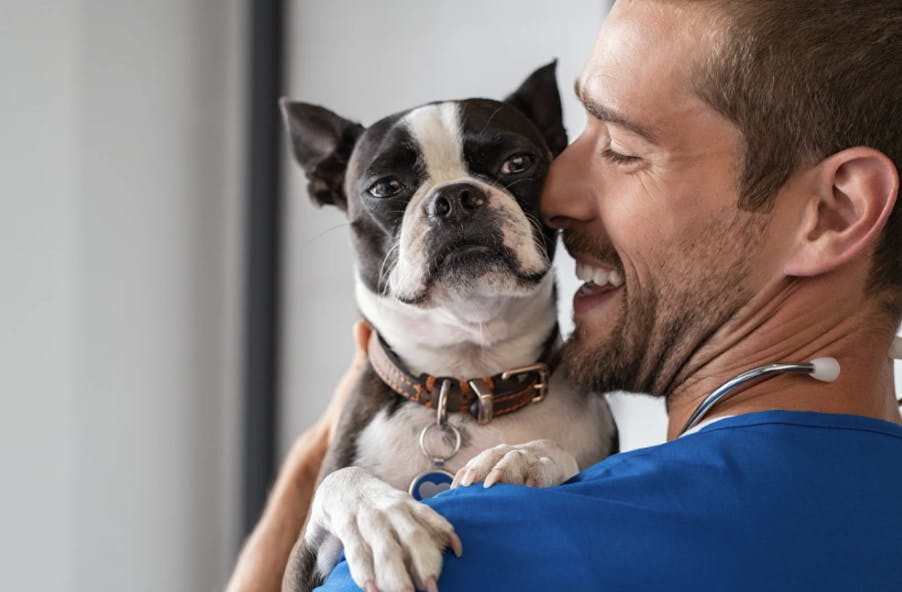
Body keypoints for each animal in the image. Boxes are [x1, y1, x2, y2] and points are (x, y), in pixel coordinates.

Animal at [282, 63, 616, 592]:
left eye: (518, 163)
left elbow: (561, 456)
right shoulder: (297, 567)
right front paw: (383, 520)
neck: (466, 379)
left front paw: (523, 457)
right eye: (385, 187)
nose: (455, 197)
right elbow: (340, 481)